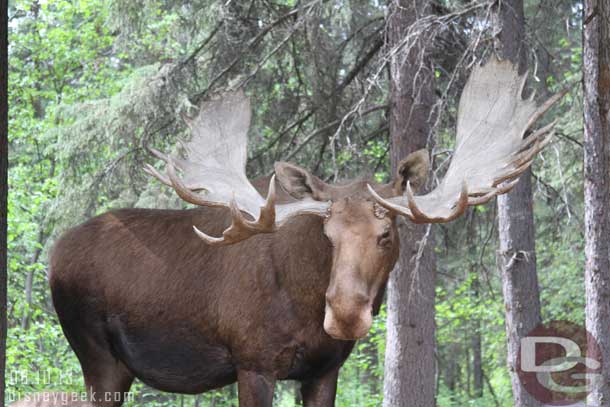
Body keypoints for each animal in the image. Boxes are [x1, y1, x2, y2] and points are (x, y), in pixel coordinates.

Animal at [50, 58, 564, 407]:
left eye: (385, 234)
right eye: (328, 235)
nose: (344, 314)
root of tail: (54, 253)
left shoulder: (323, 369)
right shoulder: (253, 361)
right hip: (97, 357)